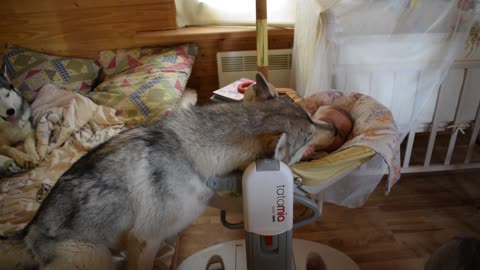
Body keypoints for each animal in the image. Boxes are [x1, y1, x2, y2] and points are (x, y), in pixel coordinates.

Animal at [0, 73, 338, 268]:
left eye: (311, 118)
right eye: (308, 136)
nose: (334, 127)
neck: (193, 154)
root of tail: (28, 233)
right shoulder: (147, 241)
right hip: (93, 259)